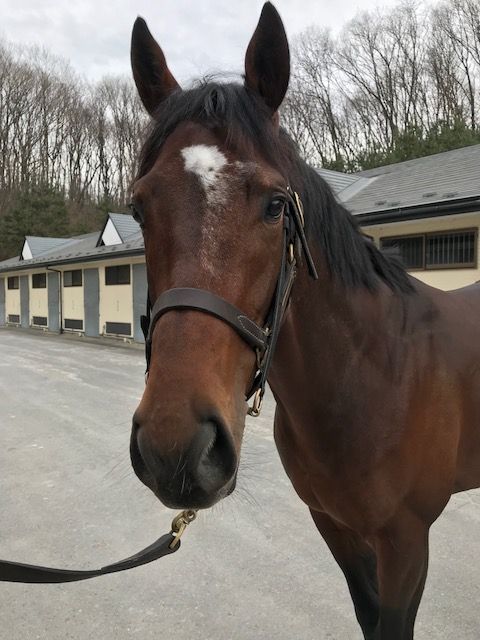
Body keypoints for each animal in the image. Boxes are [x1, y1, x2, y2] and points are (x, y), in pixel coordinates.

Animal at [128, 4, 480, 638]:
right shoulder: (334, 527)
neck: (372, 375)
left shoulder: (407, 542)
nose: (175, 449)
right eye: (139, 207)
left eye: (274, 205)